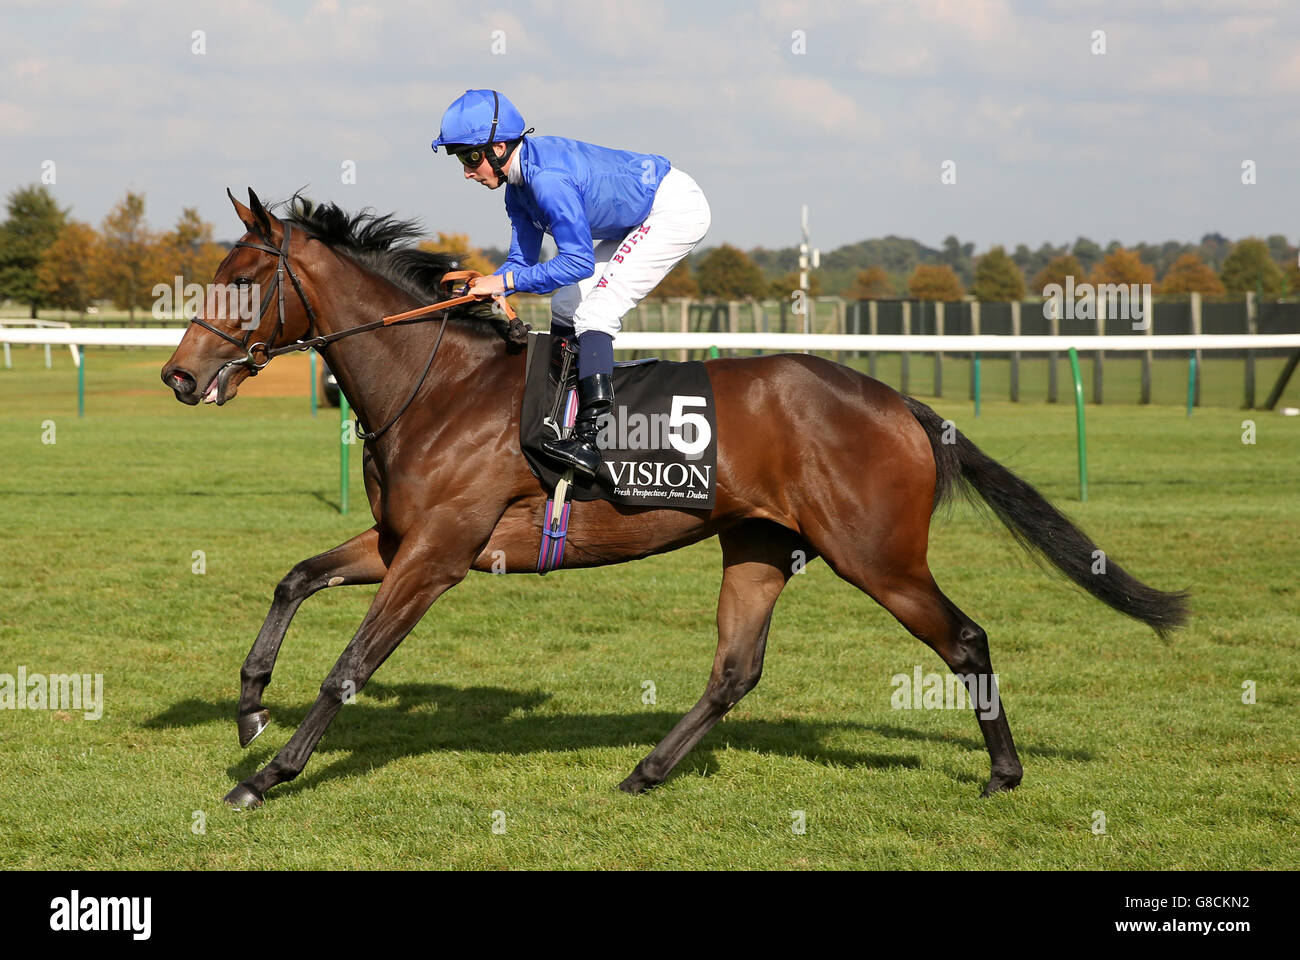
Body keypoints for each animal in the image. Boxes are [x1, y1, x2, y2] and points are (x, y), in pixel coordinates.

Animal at [159, 191, 1190, 806]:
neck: (436, 384)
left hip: (877, 554)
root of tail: (901, 403)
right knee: (735, 669)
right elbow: (295, 578)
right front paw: (249, 707)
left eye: (244, 282)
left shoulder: (438, 554)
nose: (179, 376)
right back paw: (647, 769)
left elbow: (350, 665)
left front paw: (271, 774)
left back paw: (1005, 771)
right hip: (761, 545)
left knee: (965, 636)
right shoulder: (399, 537)